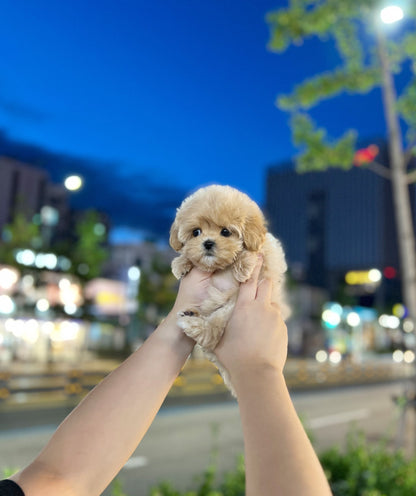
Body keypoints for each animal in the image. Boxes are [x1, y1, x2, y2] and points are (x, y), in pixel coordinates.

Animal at [169, 184, 290, 398]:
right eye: (196, 232)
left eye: (225, 232)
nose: (208, 243)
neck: (221, 267)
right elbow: (189, 255)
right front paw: (181, 263)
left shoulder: (269, 256)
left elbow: (255, 252)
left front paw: (243, 264)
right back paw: (191, 315)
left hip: (229, 311)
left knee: (211, 334)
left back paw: (192, 322)